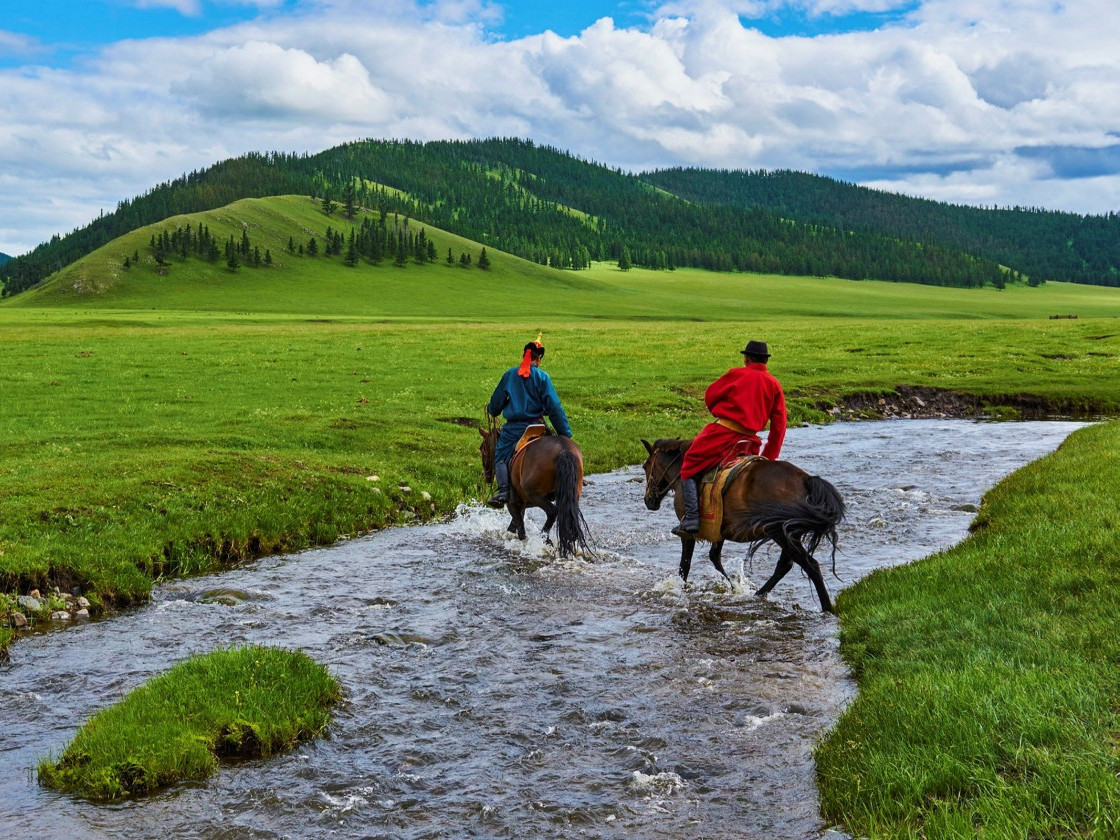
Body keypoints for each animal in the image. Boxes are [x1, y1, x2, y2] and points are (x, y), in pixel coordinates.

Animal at [477, 427, 591, 560]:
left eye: (482, 448)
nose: (487, 476)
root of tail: (563, 450)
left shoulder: (513, 503)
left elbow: (519, 528)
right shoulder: (522, 505)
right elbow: (515, 525)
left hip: (536, 495)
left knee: (552, 512)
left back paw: (544, 539)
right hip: (571, 496)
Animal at [640, 441, 842, 613]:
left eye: (645, 466)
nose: (649, 500)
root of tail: (806, 481)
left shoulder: (687, 534)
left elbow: (685, 565)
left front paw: (680, 590)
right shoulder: (718, 531)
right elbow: (714, 558)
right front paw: (735, 587)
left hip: (780, 534)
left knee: (810, 566)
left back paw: (827, 608)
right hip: (788, 534)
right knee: (785, 565)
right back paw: (758, 594)